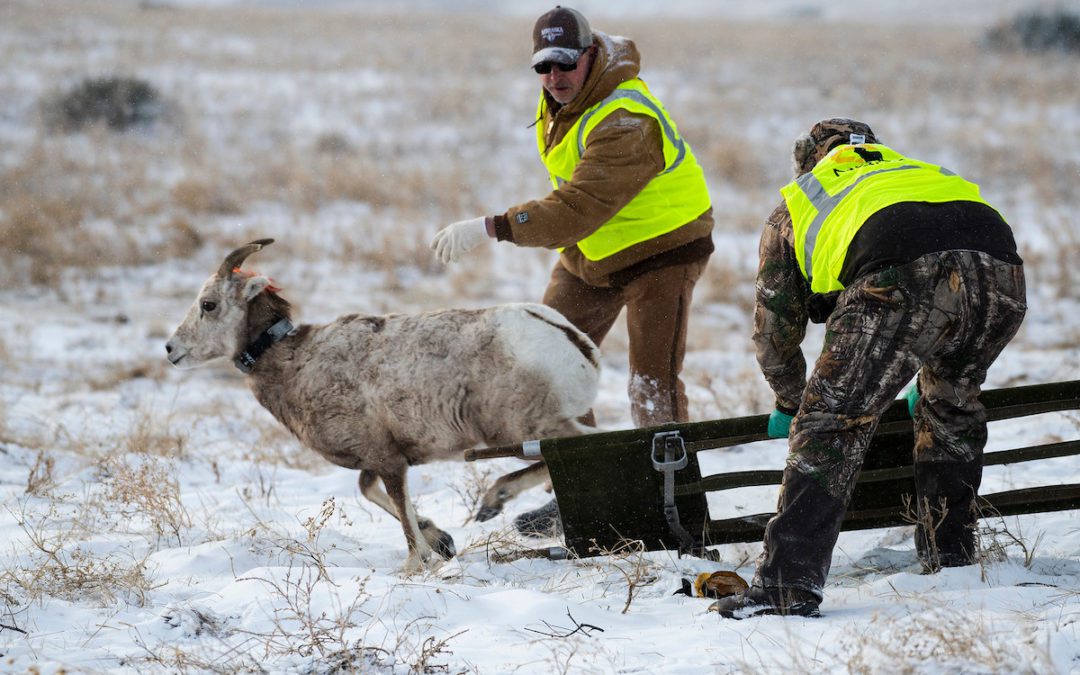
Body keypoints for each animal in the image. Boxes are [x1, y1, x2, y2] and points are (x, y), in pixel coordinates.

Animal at [166, 239, 600, 570]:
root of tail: (570, 340)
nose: (171, 350)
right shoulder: (381, 457)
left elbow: (398, 509)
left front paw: (417, 564)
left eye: (208, 304)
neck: (296, 364)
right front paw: (441, 541)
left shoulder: (388, 459)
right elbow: (374, 492)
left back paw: (496, 499)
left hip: (523, 425)